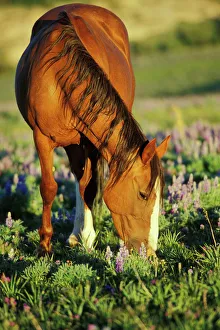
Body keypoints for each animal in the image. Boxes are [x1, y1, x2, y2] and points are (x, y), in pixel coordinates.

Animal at [15, 3, 170, 255]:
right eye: (144, 194)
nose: (149, 251)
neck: (60, 76)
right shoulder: (42, 137)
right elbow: (49, 188)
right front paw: (44, 246)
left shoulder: (90, 141)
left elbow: (88, 188)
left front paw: (87, 238)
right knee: (78, 176)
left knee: (83, 180)